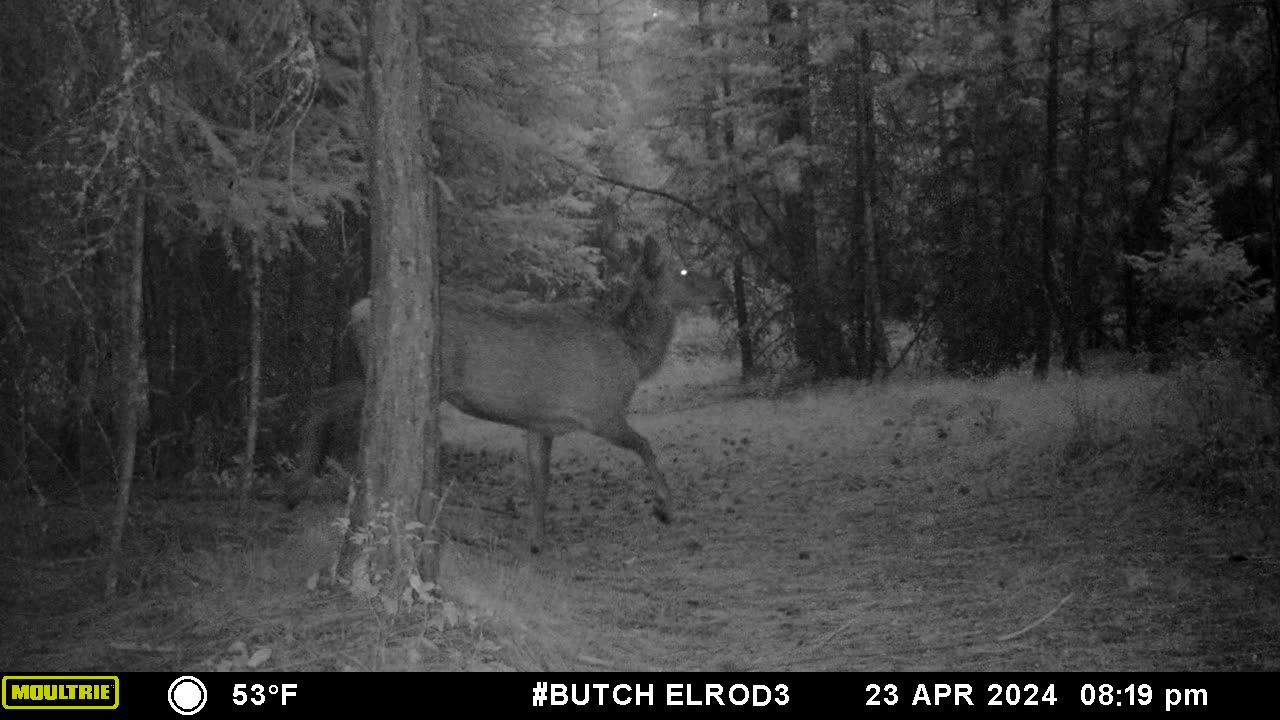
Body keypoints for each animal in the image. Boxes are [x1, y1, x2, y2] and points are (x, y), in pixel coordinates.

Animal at [286, 238, 727, 550]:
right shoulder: (600, 410)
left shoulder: (540, 423)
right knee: (323, 402)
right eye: (684, 270)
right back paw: (298, 485)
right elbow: (646, 446)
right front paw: (665, 506)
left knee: (318, 397)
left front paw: (536, 541)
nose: (721, 286)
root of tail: (356, 309)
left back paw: (295, 489)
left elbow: (540, 481)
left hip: (367, 371)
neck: (635, 355)